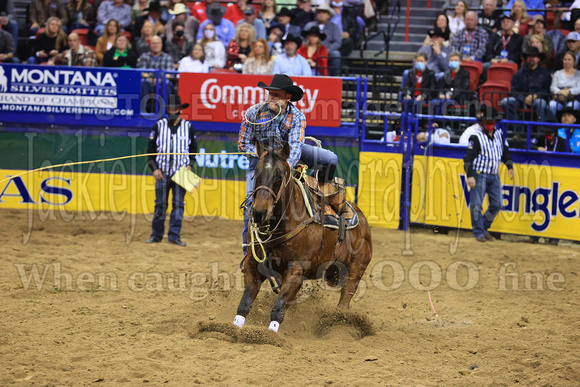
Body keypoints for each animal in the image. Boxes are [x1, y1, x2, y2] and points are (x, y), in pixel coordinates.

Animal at [233, 142, 374, 334]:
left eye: (279, 176)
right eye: (256, 173)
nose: (259, 213)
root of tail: (363, 221)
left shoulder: (296, 270)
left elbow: (278, 309)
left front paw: (270, 334)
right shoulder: (253, 264)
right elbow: (244, 304)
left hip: (356, 269)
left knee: (345, 300)